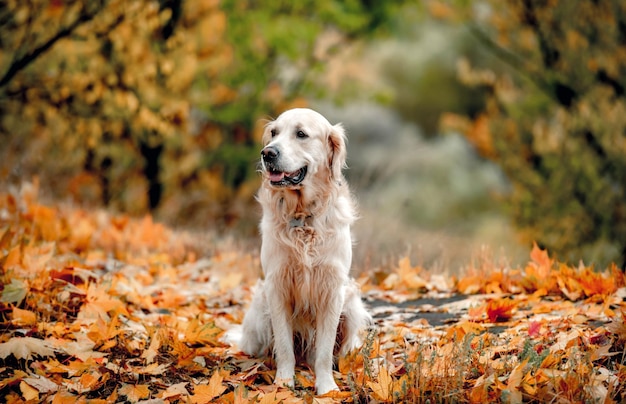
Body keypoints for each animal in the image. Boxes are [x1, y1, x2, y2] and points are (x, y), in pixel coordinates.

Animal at [236, 107, 368, 394]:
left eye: (301, 134)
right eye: (274, 133)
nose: (267, 153)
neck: (303, 216)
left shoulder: (332, 289)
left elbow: (324, 351)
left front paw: (326, 387)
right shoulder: (277, 286)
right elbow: (285, 346)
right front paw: (283, 383)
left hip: (351, 302)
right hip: (260, 308)